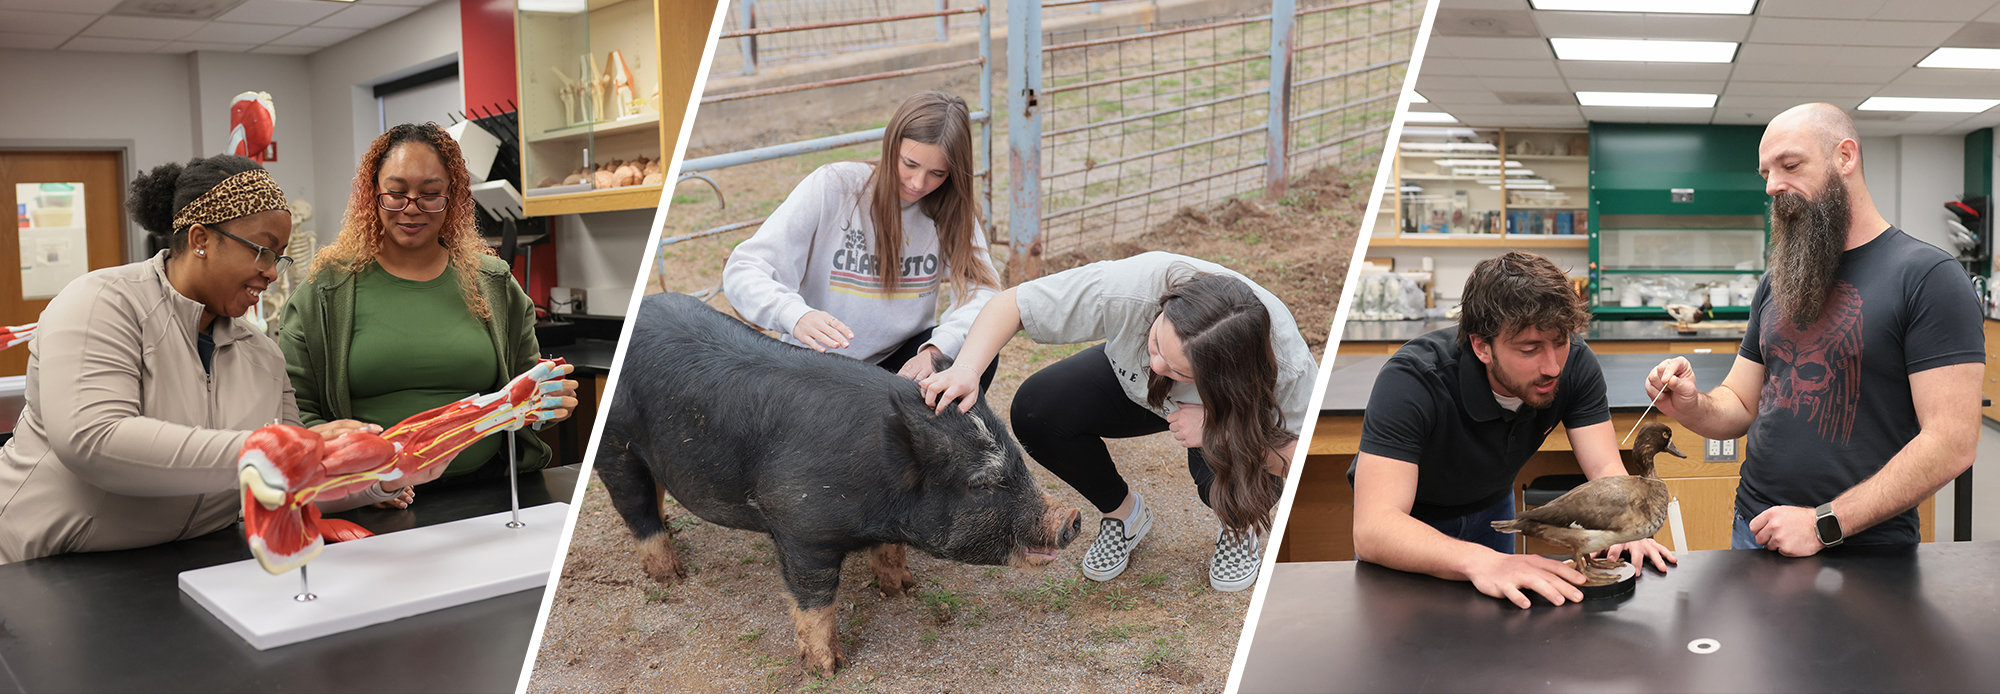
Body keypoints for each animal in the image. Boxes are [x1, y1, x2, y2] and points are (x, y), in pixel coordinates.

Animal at [600, 292, 1088, 676]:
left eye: (1018, 457)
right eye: (982, 484)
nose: (1072, 515)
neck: (880, 495)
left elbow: (889, 552)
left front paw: (906, 589)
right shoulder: (798, 524)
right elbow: (815, 600)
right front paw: (829, 668)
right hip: (615, 445)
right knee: (635, 508)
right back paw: (672, 577)